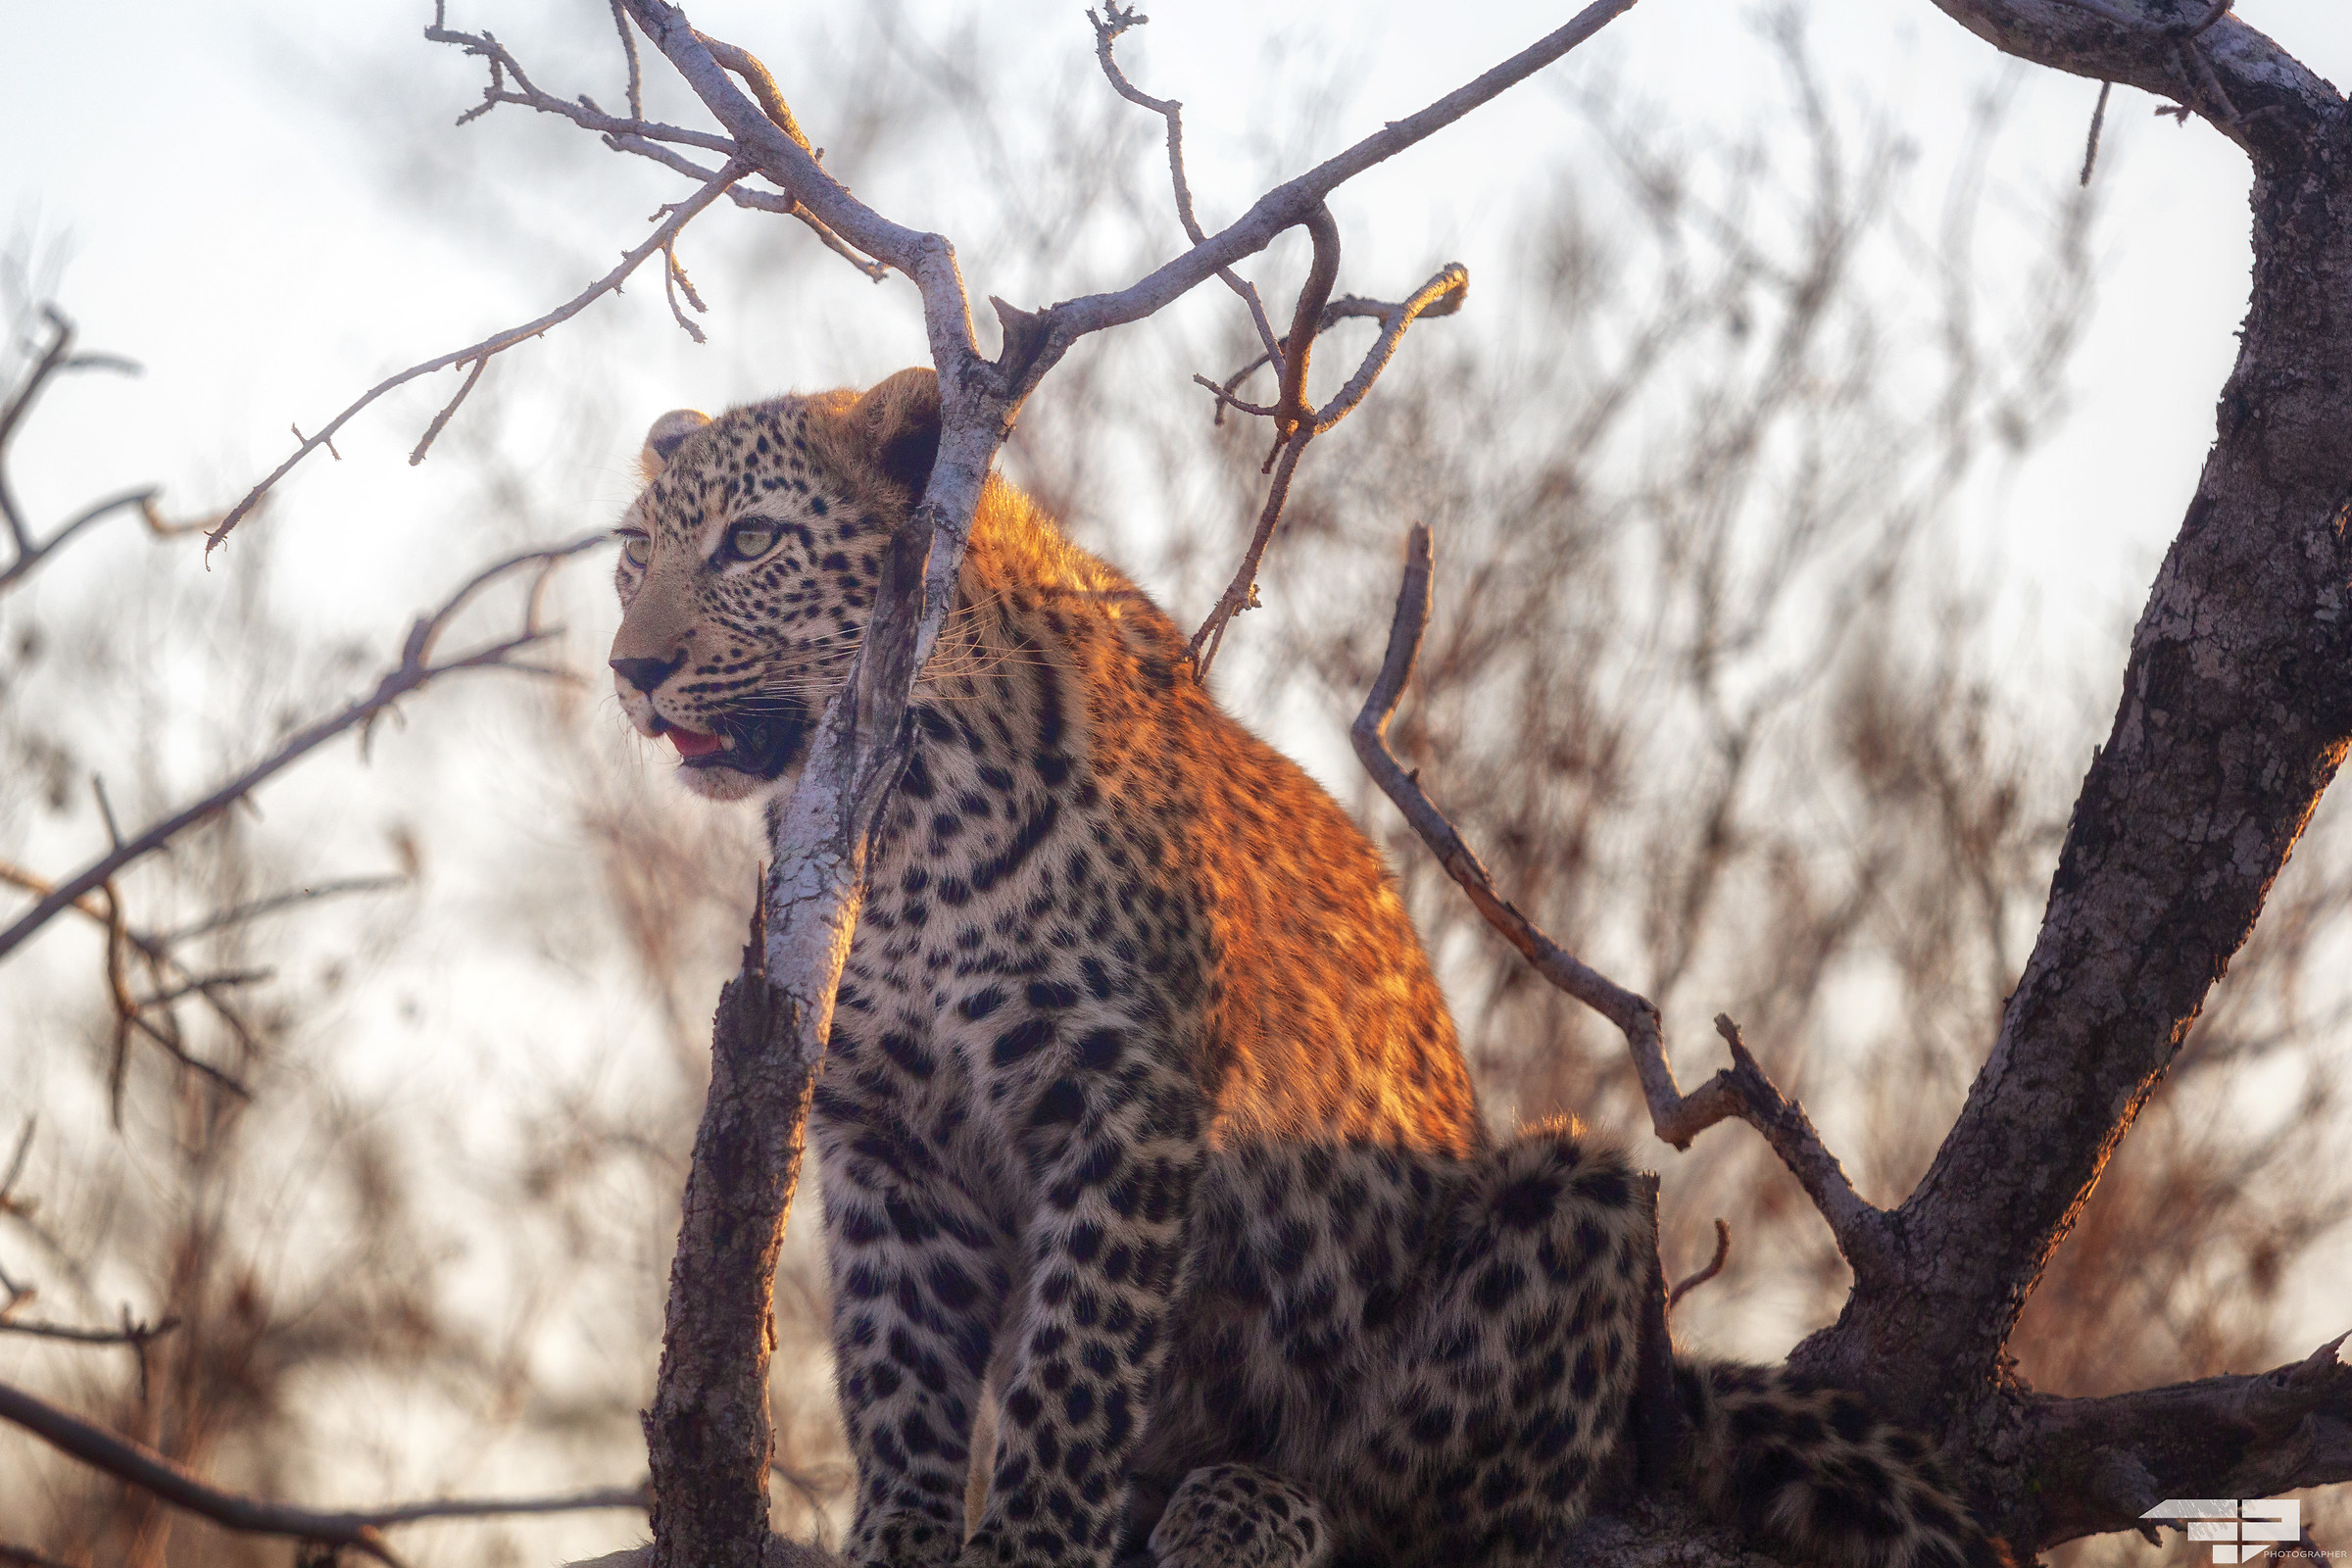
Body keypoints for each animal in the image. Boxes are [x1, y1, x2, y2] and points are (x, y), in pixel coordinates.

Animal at [607, 367, 2014, 1568]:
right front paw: (903, 1535)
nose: (633, 667)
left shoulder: (1124, 1101)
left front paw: (1031, 1541)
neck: (905, 827)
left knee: (1419, 1499)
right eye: (632, 556)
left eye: (750, 543)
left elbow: (1075, 1358)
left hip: (1579, 1205)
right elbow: (901, 1369)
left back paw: (1248, 1501)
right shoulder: (887, 1132)